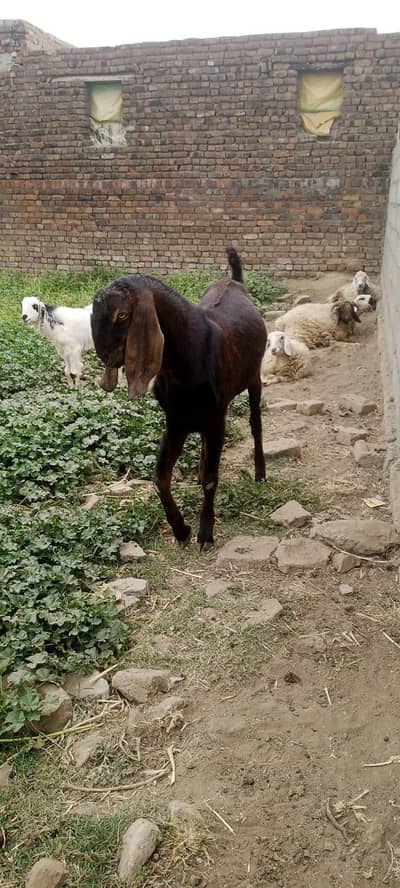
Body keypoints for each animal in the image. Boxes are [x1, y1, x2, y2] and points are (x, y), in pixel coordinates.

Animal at [91, 248, 267, 549]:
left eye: (123, 315)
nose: (105, 356)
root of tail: (233, 281)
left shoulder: (214, 418)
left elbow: (211, 478)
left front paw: (205, 533)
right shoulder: (176, 421)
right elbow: (160, 476)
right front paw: (180, 529)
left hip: (253, 379)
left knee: (255, 424)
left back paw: (260, 473)